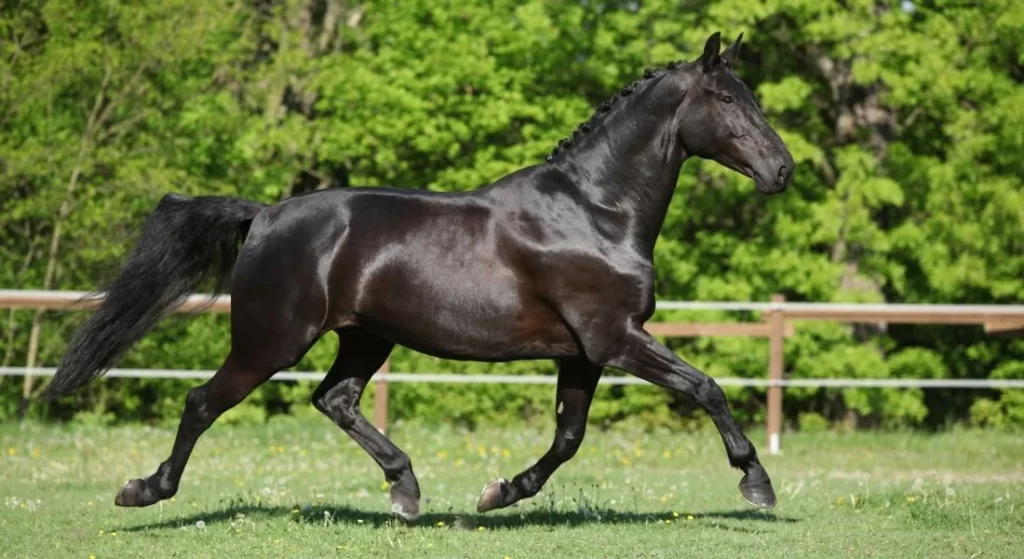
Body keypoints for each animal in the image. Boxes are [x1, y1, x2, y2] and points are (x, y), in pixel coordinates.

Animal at [46, 30, 790, 518]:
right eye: (727, 99)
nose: (782, 170)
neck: (595, 211)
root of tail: (265, 216)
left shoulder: (583, 352)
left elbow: (568, 438)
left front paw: (499, 492)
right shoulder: (616, 338)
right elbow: (706, 387)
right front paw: (757, 484)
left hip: (365, 336)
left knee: (335, 400)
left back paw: (406, 490)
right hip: (270, 341)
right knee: (204, 401)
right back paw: (145, 490)